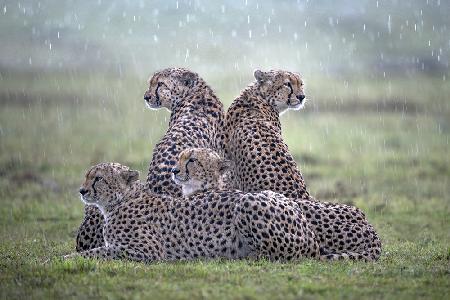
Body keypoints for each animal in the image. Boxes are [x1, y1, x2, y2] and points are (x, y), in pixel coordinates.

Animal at [67, 162, 320, 262]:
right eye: (87, 176)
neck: (120, 201)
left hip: (247, 201)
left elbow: (97, 252)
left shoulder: (147, 252)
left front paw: (64, 259)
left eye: (98, 179)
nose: (81, 190)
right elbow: (98, 250)